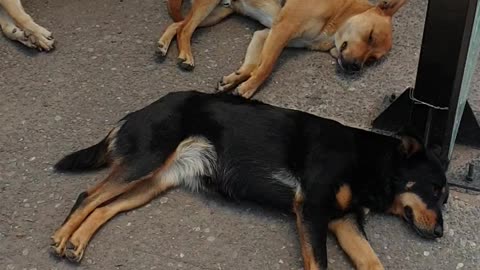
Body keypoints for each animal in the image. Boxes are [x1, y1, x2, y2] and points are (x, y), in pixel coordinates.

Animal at [50, 91, 448, 270]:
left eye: (445, 196)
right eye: (434, 188)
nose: (442, 233)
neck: (366, 160)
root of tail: (138, 111)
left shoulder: (343, 221)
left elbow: (373, 263)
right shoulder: (312, 210)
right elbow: (319, 262)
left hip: (153, 182)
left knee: (106, 207)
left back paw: (78, 242)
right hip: (145, 161)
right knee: (88, 195)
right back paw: (62, 237)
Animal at [159, 0, 406, 98]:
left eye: (372, 60)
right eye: (370, 35)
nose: (355, 68)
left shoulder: (266, 34)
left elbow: (253, 65)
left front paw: (235, 79)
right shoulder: (282, 30)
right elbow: (266, 67)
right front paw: (248, 89)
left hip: (218, 14)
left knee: (178, 24)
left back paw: (163, 45)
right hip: (209, 6)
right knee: (185, 28)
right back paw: (185, 55)